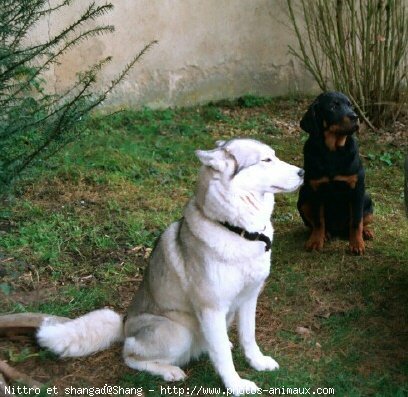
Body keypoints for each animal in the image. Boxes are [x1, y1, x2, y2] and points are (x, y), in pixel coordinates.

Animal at [37, 138, 302, 392]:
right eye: (266, 160)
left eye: (274, 155)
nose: (302, 171)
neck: (237, 230)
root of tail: (123, 325)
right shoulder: (211, 308)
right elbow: (223, 357)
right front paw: (235, 385)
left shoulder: (249, 298)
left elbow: (249, 336)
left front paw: (257, 362)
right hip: (179, 332)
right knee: (130, 355)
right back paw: (168, 371)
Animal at [296, 91, 372, 254]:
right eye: (332, 106)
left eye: (350, 105)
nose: (355, 117)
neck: (333, 151)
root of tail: (339, 230)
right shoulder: (316, 188)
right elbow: (319, 220)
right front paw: (315, 241)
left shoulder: (357, 189)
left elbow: (357, 220)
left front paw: (357, 244)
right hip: (303, 198)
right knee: (313, 224)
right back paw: (325, 234)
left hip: (367, 199)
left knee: (361, 220)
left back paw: (366, 232)